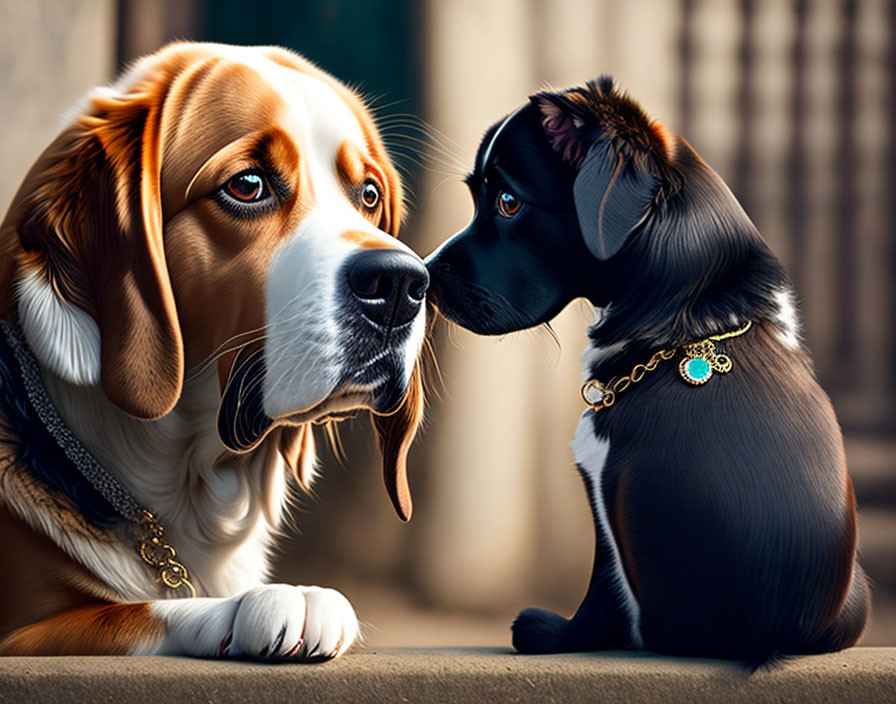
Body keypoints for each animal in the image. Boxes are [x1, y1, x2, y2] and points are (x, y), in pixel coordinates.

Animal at [0, 41, 428, 656]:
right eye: (247, 186)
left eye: (368, 195)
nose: (400, 286)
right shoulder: (26, 633)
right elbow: (136, 612)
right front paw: (264, 602)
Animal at [428, 78, 868, 664]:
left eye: (507, 202)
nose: (424, 273)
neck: (690, 319)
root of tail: (771, 640)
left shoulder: (604, 496)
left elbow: (602, 592)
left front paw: (555, 634)